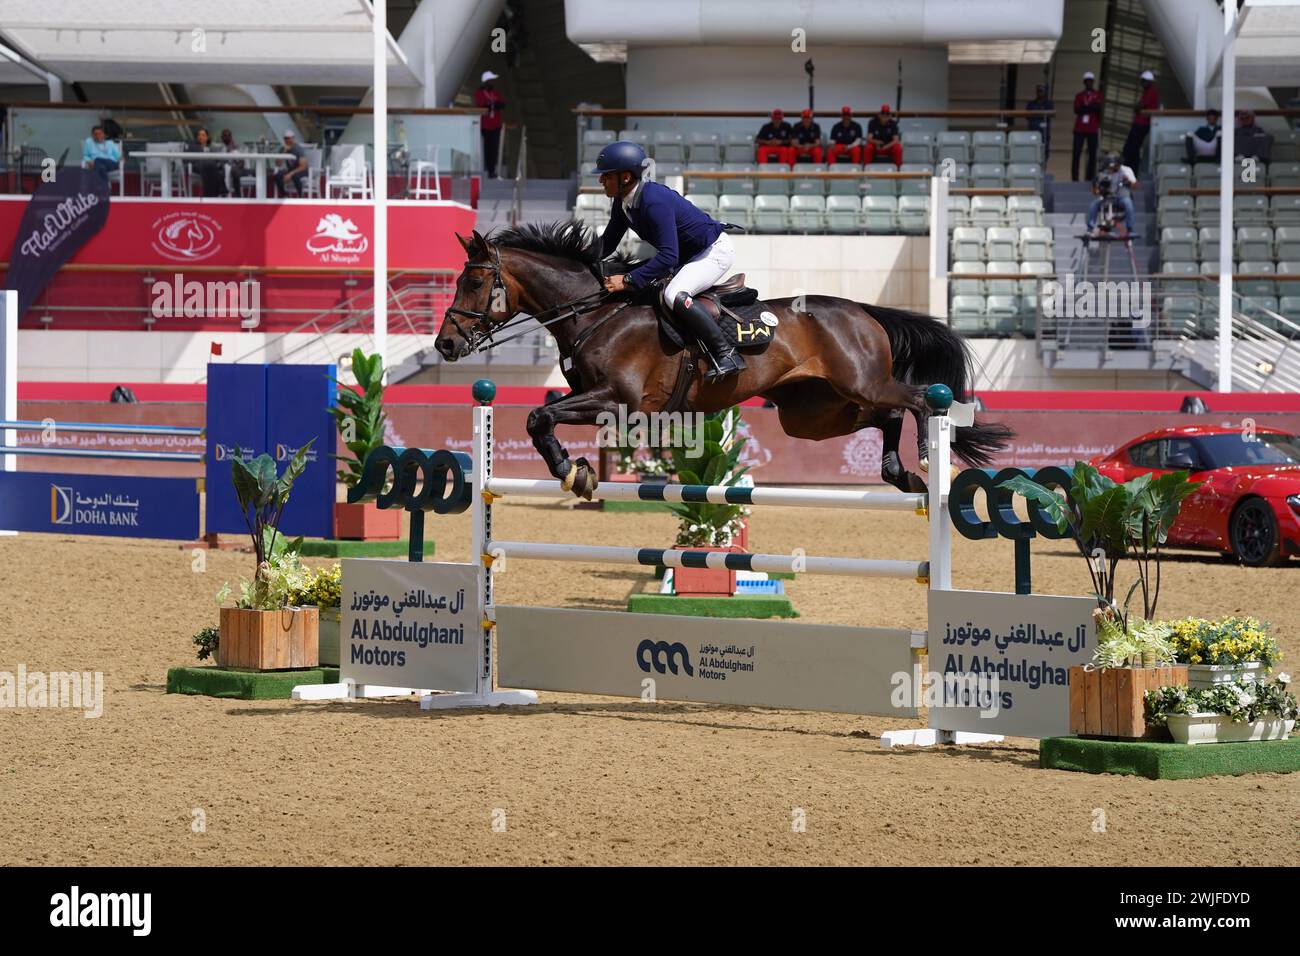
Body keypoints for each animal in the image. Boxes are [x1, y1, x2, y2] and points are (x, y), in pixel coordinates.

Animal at [436, 221, 1013, 496]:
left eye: (474, 283)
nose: (445, 345)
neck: (594, 312)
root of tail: (862, 310)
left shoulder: (619, 403)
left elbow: (539, 415)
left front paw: (570, 472)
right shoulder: (590, 396)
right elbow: (542, 415)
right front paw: (574, 471)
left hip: (859, 384)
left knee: (916, 399)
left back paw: (925, 461)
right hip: (814, 413)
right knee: (886, 414)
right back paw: (898, 473)